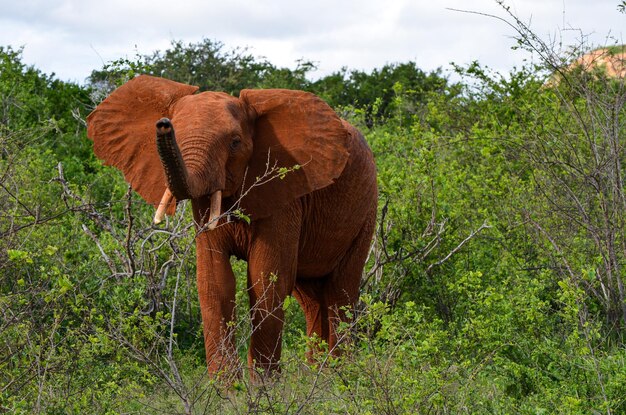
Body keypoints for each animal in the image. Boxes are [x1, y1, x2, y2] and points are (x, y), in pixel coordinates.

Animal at [86, 75, 378, 380]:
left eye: (235, 142)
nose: (163, 124)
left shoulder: (285, 194)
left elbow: (265, 280)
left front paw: (263, 387)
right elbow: (215, 282)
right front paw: (226, 387)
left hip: (366, 212)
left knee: (340, 293)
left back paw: (340, 377)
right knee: (310, 298)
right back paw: (317, 375)